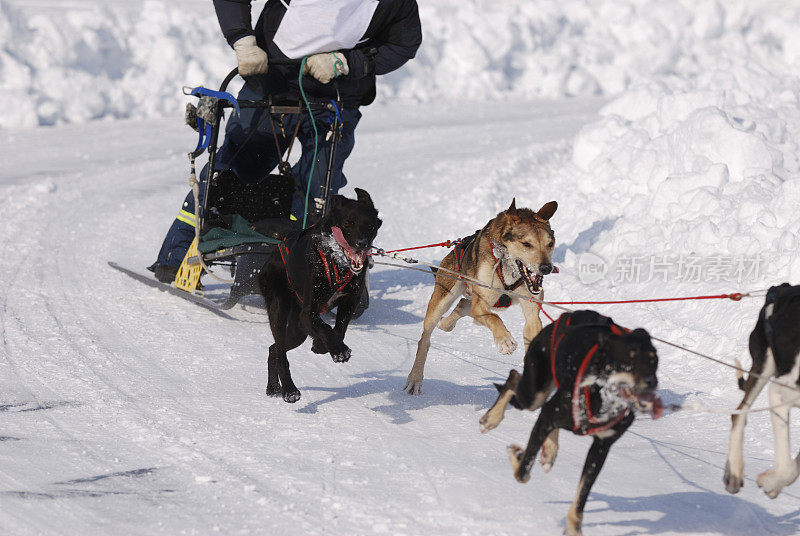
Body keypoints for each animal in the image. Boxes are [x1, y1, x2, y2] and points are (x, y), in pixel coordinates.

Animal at [256, 188, 382, 402]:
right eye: (348, 223)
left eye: (370, 225)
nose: (362, 244)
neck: (338, 263)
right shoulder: (309, 311)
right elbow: (326, 327)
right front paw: (339, 351)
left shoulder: (350, 301)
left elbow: (339, 329)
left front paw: (324, 346)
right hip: (279, 307)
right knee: (280, 353)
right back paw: (289, 390)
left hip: (297, 331)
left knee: (274, 349)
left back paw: (273, 387)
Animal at [404, 199, 560, 396]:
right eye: (527, 244)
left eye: (550, 243)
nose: (546, 267)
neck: (508, 268)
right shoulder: (482, 304)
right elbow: (494, 318)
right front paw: (504, 340)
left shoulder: (532, 313)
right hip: (443, 299)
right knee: (425, 340)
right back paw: (415, 378)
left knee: (463, 305)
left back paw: (449, 321)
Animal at [478, 310, 660, 536]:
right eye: (629, 358)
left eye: (654, 360)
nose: (652, 382)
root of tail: (569, 315)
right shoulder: (548, 417)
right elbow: (523, 471)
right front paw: (518, 456)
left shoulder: (601, 448)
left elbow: (583, 493)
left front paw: (574, 526)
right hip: (534, 393)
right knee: (514, 380)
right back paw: (492, 419)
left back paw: (549, 451)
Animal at [724, 284, 800, 498]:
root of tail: (782, 287)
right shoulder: (779, 394)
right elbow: (786, 469)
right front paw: (771, 482)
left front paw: (774, 483)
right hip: (764, 363)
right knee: (739, 412)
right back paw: (734, 471)